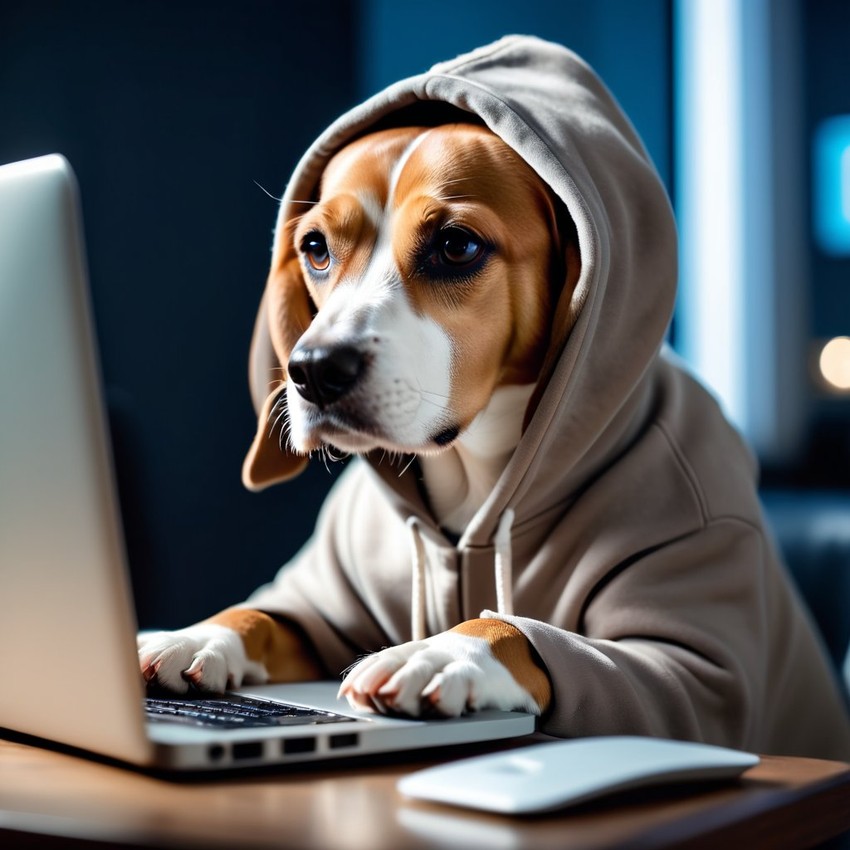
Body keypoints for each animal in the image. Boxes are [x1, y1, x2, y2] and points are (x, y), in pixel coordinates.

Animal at [137, 122, 576, 720]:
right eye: (315, 248)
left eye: (457, 246)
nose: (314, 370)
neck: (473, 474)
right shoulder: (322, 616)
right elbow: (260, 614)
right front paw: (194, 635)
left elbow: (517, 633)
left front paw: (440, 654)